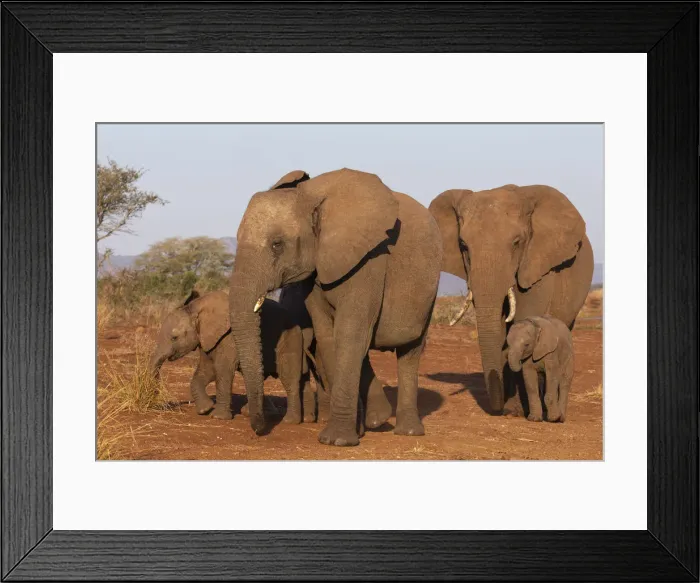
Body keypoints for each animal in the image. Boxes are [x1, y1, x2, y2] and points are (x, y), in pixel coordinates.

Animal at [149, 289, 310, 424]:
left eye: (174, 338)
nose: (155, 395)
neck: (197, 308)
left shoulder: (229, 337)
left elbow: (223, 369)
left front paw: (217, 417)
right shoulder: (207, 339)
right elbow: (206, 370)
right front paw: (205, 409)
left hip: (290, 339)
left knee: (289, 378)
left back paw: (290, 420)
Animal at [229, 168, 442, 445]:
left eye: (277, 244)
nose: (258, 429)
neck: (311, 196)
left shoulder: (371, 259)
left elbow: (350, 333)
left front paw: (337, 441)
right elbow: (329, 335)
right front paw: (358, 430)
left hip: (430, 289)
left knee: (410, 352)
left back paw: (407, 431)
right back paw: (378, 418)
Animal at [429, 184, 593, 416]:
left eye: (517, 243)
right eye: (463, 245)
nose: (497, 410)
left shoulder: (537, 268)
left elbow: (522, 322)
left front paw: (518, 410)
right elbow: (499, 332)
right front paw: (512, 410)